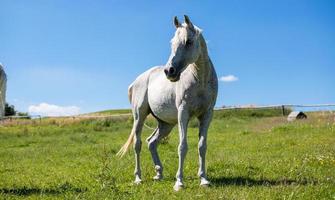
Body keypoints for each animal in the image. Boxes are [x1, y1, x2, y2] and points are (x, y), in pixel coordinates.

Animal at [117, 15, 219, 191]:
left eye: (188, 41)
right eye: (172, 43)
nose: (169, 71)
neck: (200, 80)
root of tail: (137, 80)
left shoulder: (207, 114)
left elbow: (202, 146)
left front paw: (204, 179)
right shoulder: (183, 113)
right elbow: (182, 146)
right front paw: (179, 182)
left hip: (166, 124)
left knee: (152, 142)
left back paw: (159, 173)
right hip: (139, 117)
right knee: (138, 144)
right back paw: (138, 178)